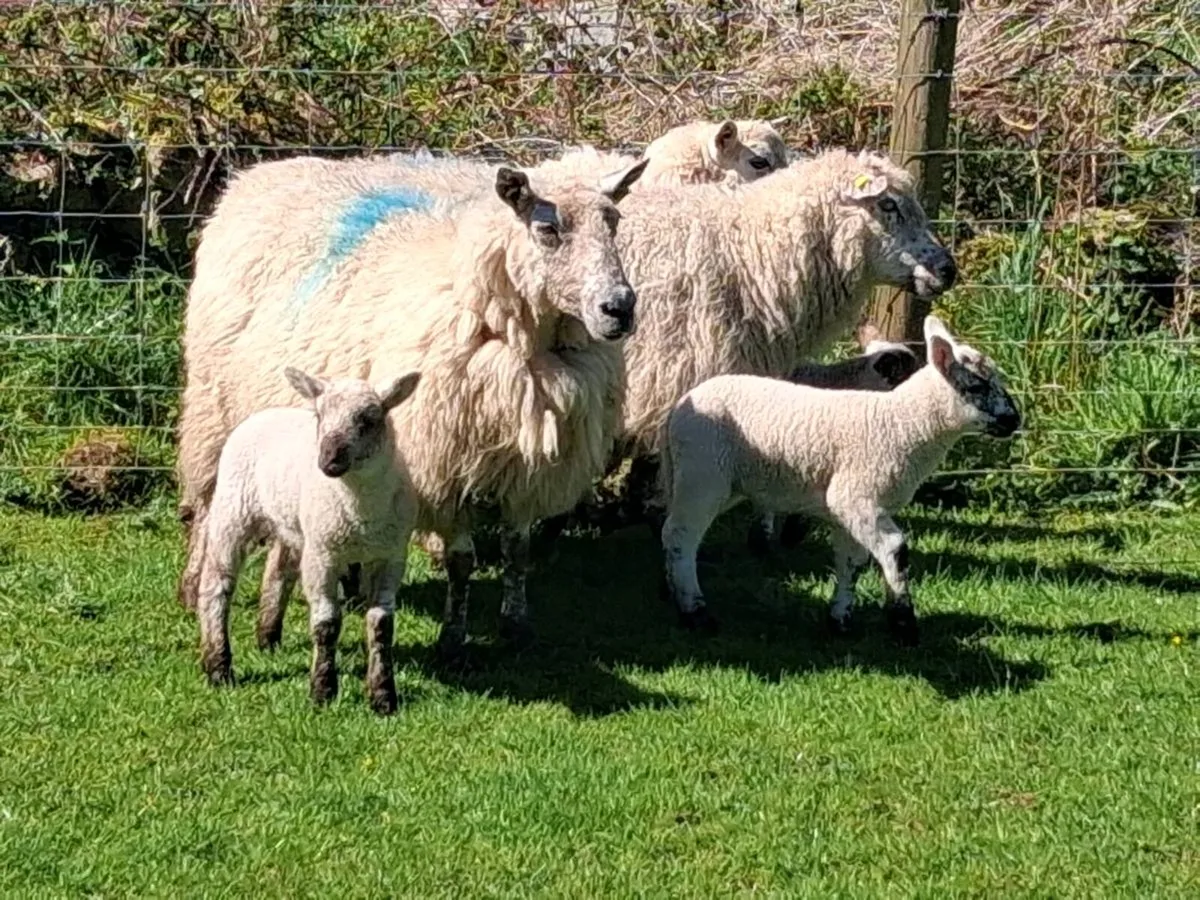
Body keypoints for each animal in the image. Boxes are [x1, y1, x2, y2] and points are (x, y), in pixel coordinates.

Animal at [175, 155, 649, 662]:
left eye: (614, 221)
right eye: (548, 229)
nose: (619, 307)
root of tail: (252, 177)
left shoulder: (525, 469)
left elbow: (516, 550)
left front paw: (516, 627)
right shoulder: (449, 469)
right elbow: (462, 561)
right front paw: (453, 640)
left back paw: (287, 612)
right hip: (213, 410)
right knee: (207, 506)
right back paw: (194, 586)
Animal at [197, 366, 421, 714]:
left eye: (369, 419)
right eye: (320, 415)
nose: (329, 459)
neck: (361, 513)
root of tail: (266, 412)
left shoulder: (391, 555)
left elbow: (382, 625)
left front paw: (384, 697)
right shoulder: (322, 553)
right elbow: (326, 623)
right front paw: (322, 692)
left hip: (290, 524)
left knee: (276, 573)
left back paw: (268, 639)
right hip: (233, 509)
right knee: (215, 584)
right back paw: (219, 667)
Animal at [659, 315, 1021, 644]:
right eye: (976, 386)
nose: (1014, 420)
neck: (902, 424)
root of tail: (680, 407)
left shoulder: (853, 510)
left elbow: (852, 562)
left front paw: (841, 620)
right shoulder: (855, 496)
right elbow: (895, 551)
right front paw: (903, 624)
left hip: (717, 480)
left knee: (672, 531)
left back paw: (673, 592)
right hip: (703, 473)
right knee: (681, 535)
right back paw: (695, 611)